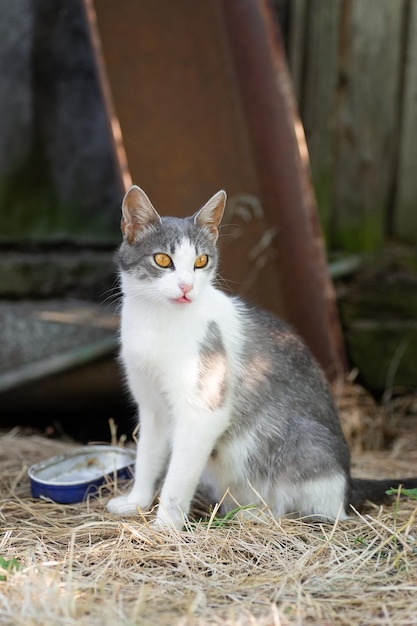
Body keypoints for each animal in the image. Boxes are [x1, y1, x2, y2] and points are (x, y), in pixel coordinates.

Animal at [107, 185, 416, 528]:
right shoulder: (151, 408)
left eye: (201, 261)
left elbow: (177, 479)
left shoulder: (204, 412)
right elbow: (147, 458)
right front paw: (136, 502)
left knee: (312, 509)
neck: (158, 322)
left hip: (305, 443)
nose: (186, 287)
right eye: (163, 259)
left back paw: (259, 514)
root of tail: (347, 482)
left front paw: (165, 527)